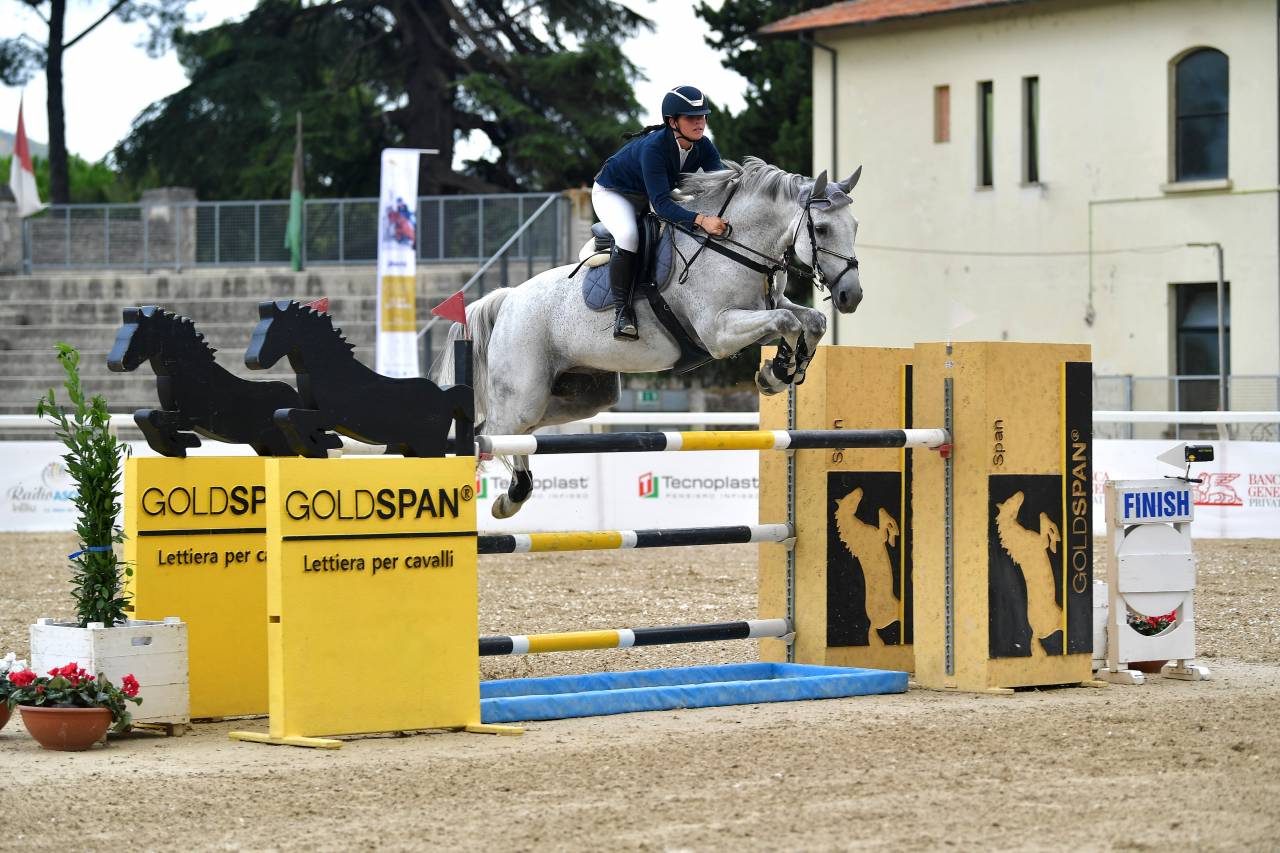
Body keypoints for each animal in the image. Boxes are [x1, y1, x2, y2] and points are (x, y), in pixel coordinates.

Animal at [106, 305, 303, 457]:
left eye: (139, 335)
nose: (117, 363)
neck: (190, 373)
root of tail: (297, 400)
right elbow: (144, 416)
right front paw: (177, 445)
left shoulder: (188, 417)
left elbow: (151, 417)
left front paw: (185, 442)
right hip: (263, 443)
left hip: (279, 443)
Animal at [244, 299, 474, 458]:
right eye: (256, 331)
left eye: (275, 332)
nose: (253, 361)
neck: (329, 369)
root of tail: (445, 394)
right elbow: (285, 415)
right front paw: (322, 443)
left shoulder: (330, 416)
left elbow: (289, 415)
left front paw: (324, 443)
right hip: (412, 446)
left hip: (429, 445)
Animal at [435, 157, 864, 519]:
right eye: (822, 228)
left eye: (856, 227)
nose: (851, 296)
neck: (734, 248)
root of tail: (508, 299)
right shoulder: (719, 331)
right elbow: (787, 322)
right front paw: (776, 373)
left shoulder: (763, 309)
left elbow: (810, 321)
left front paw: (784, 371)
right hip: (523, 394)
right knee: (491, 433)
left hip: (583, 395)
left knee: (519, 433)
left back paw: (513, 496)